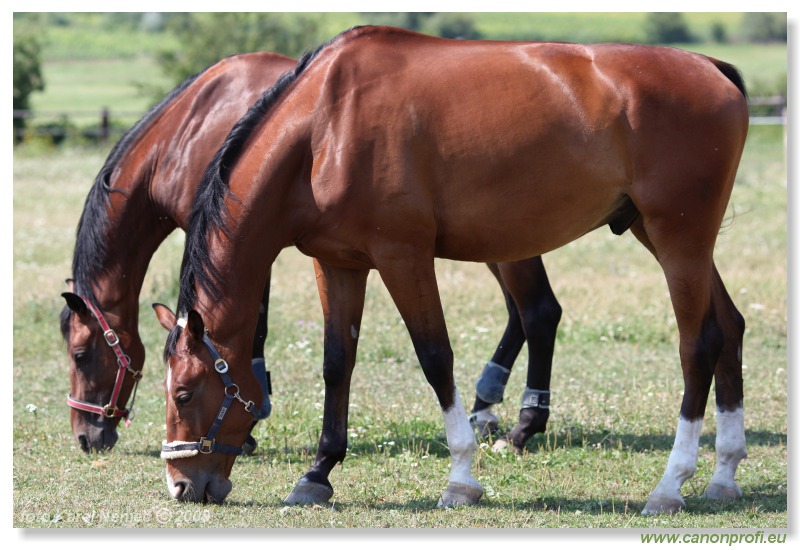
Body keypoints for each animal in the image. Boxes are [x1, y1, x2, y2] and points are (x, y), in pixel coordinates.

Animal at [57, 48, 564, 458]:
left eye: (80, 354)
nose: (86, 435)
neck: (190, 128)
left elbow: (251, 326)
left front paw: (251, 418)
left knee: (538, 311)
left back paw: (518, 420)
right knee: (520, 314)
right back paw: (486, 404)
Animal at [155, 27, 752, 516]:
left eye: (184, 393)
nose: (181, 486)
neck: (325, 126)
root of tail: (711, 67)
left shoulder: (403, 256)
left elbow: (435, 357)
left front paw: (461, 477)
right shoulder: (338, 264)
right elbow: (337, 363)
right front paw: (318, 473)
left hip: (679, 239)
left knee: (698, 345)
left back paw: (670, 485)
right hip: (665, 237)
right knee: (730, 328)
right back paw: (723, 475)